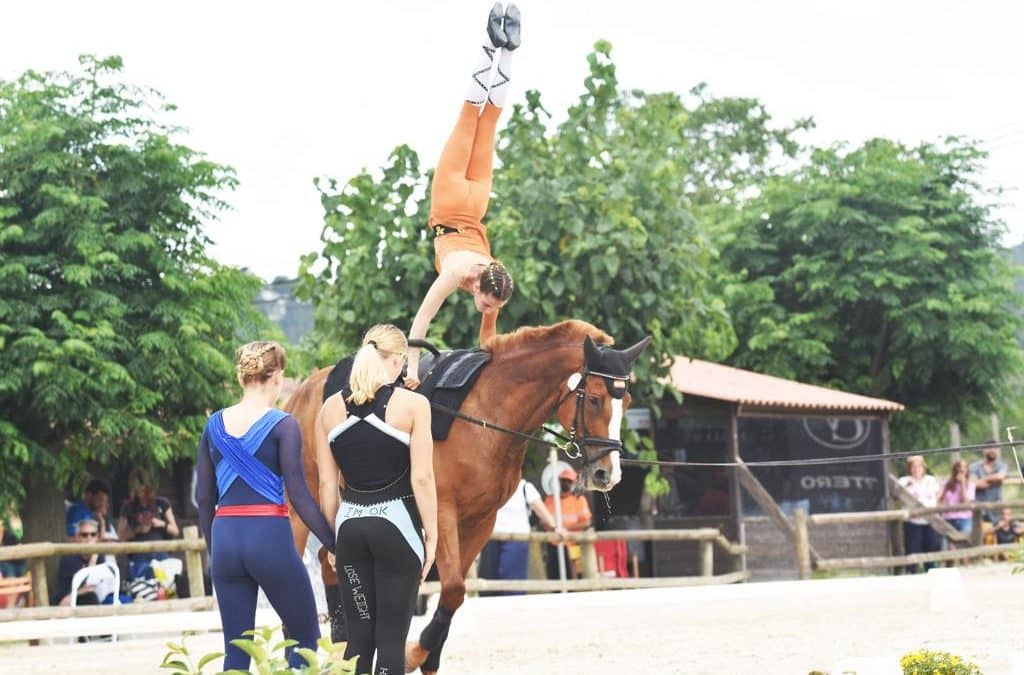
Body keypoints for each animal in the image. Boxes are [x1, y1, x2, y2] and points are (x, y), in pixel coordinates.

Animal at [282, 319, 647, 671]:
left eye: (627, 402)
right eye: (596, 398)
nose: (607, 474)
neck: (486, 415)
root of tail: (300, 392)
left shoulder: (480, 520)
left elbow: (453, 593)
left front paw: (427, 657)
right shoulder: (443, 511)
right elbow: (455, 586)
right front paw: (414, 654)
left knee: (328, 562)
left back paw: (340, 648)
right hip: (301, 507)